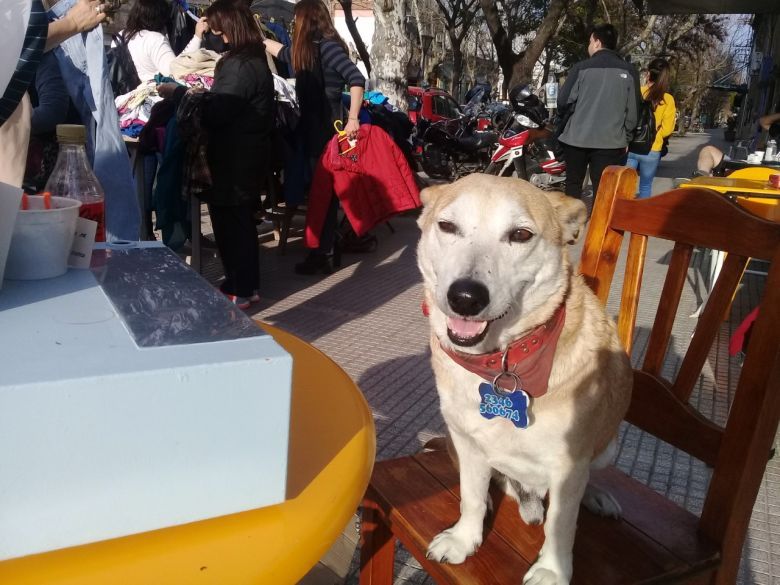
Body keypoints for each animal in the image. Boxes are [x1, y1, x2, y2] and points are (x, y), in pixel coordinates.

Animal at [418, 175, 632, 584]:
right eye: (447, 226)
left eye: (520, 234)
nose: (465, 297)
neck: (502, 362)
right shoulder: (467, 442)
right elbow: (470, 496)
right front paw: (465, 539)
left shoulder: (569, 464)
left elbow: (560, 524)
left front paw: (551, 570)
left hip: (607, 447)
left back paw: (595, 495)